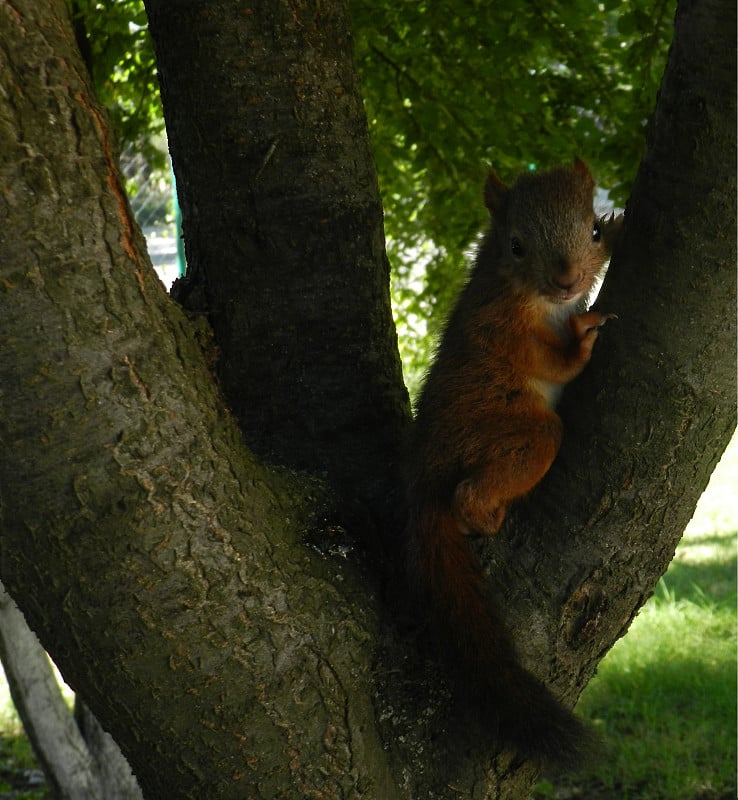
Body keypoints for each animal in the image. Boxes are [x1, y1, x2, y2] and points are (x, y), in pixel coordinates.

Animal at [402, 158, 620, 768]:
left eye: (593, 230)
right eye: (517, 245)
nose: (568, 280)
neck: (541, 299)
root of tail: (423, 475)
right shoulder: (503, 328)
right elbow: (551, 361)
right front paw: (581, 345)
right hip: (510, 432)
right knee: (474, 489)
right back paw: (485, 513)